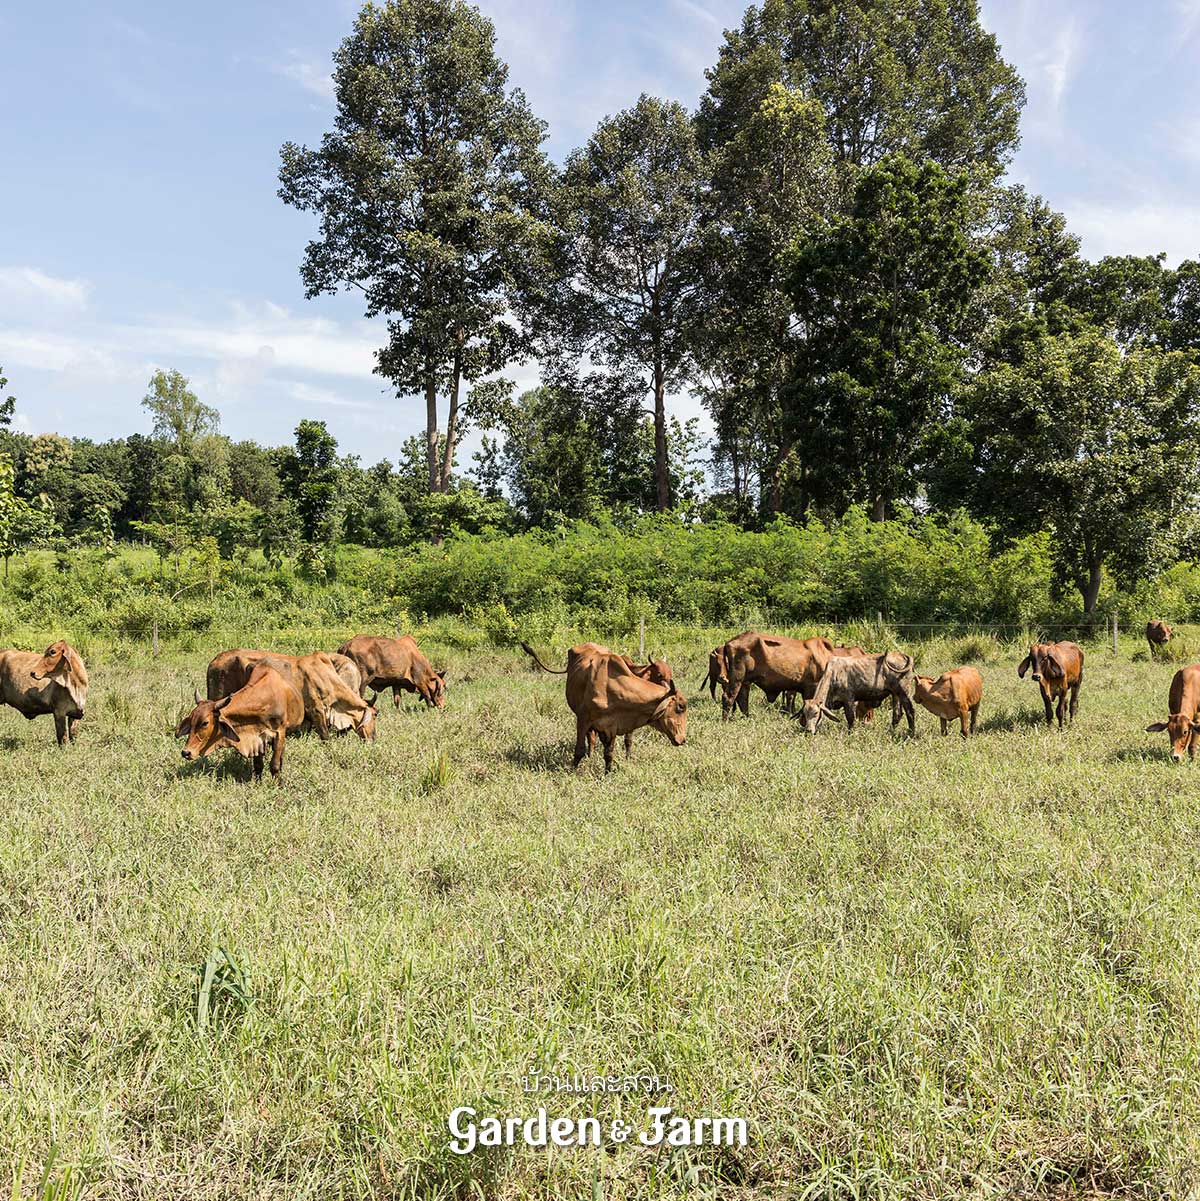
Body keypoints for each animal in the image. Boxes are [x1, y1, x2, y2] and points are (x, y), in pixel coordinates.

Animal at [175, 662, 305, 783]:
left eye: (205, 723)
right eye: (191, 720)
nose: (186, 752)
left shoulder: (279, 733)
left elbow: (275, 765)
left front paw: (277, 784)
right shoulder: (257, 738)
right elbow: (258, 765)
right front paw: (257, 782)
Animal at [523, 643, 687, 773]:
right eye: (680, 707)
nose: (682, 739)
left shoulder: (613, 725)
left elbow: (610, 753)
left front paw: (607, 774)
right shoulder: (583, 719)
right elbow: (579, 750)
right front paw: (572, 771)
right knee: (591, 740)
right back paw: (590, 756)